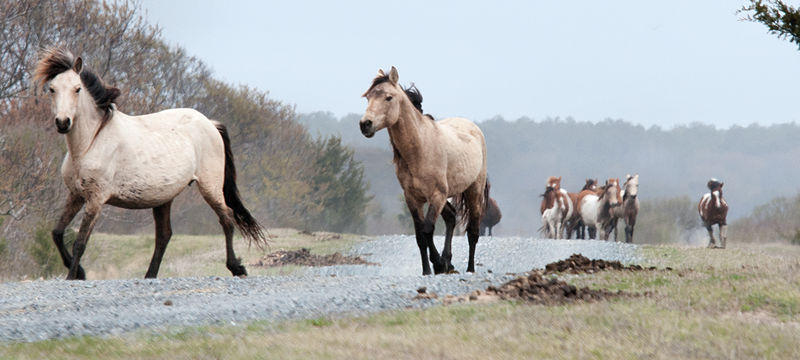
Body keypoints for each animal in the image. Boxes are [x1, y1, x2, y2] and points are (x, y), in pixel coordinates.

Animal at [33, 47, 266, 280]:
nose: (63, 123)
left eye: (77, 89)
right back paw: (150, 275)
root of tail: (210, 123)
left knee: (227, 219)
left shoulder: (95, 200)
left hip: (210, 187)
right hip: (164, 198)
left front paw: (73, 276)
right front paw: (79, 272)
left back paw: (236, 267)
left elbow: (80, 243)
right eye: (52, 89)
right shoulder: (76, 195)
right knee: (164, 235)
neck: (90, 143)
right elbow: (57, 232)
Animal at [360, 68, 488, 276]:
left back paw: (469, 268)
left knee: (473, 231)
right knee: (451, 217)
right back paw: (449, 262)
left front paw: (437, 264)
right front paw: (429, 269)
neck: (420, 149)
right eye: (368, 97)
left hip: (473, 191)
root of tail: (474, 128)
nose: (365, 124)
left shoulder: (436, 195)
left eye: (388, 97)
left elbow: (428, 229)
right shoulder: (413, 198)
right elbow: (420, 236)